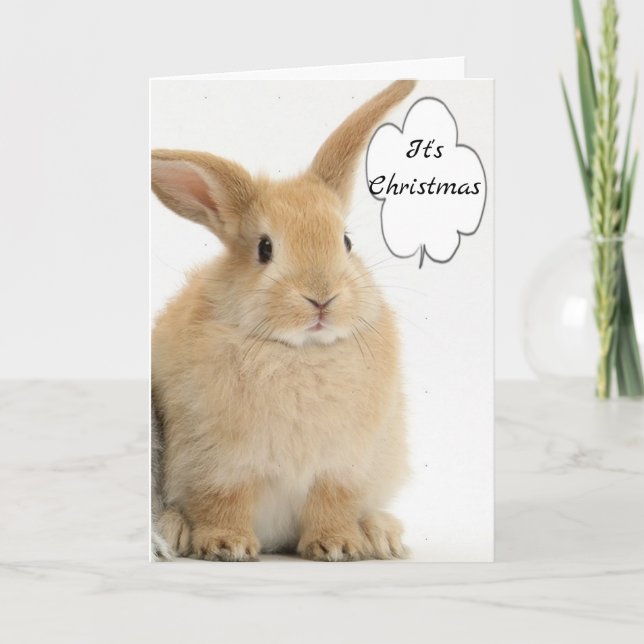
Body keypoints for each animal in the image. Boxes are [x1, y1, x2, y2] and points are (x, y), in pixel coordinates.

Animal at [151, 80, 416, 561]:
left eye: (346, 241)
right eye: (265, 248)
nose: (321, 298)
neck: (299, 352)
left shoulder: (342, 465)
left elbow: (333, 502)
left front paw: (338, 546)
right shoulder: (220, 463)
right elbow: (224, 501)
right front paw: (227, 545)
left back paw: (380, 534)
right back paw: (175, 531)